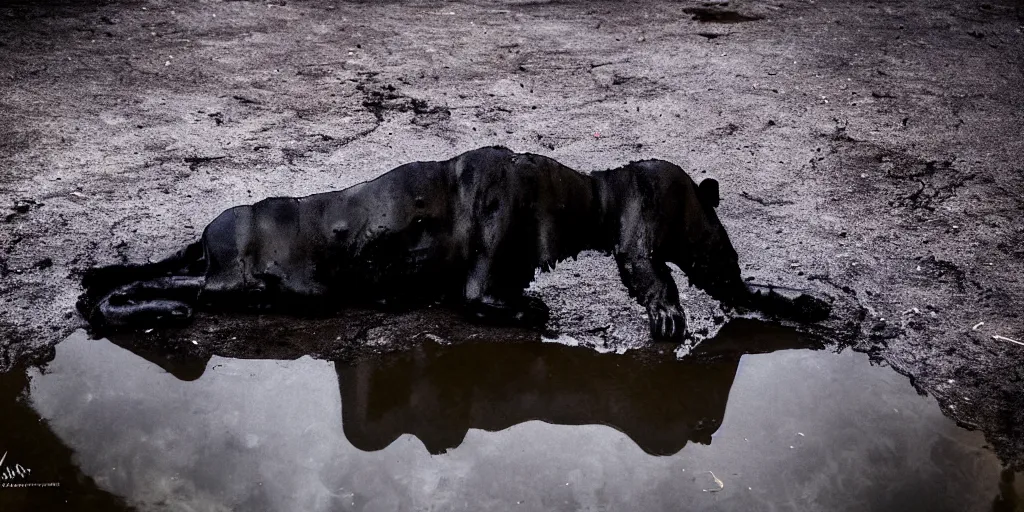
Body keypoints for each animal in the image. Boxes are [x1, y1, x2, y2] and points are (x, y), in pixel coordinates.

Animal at [79, 147, 831, 339]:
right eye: (707, 230)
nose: (727, 261)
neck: (575, 196)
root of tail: (206, 232)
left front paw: (805, 303)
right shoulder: (480, 282)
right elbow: (490, 302)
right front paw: (667, 314)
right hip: (234, 278)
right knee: (142, 285)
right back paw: (148, 308)